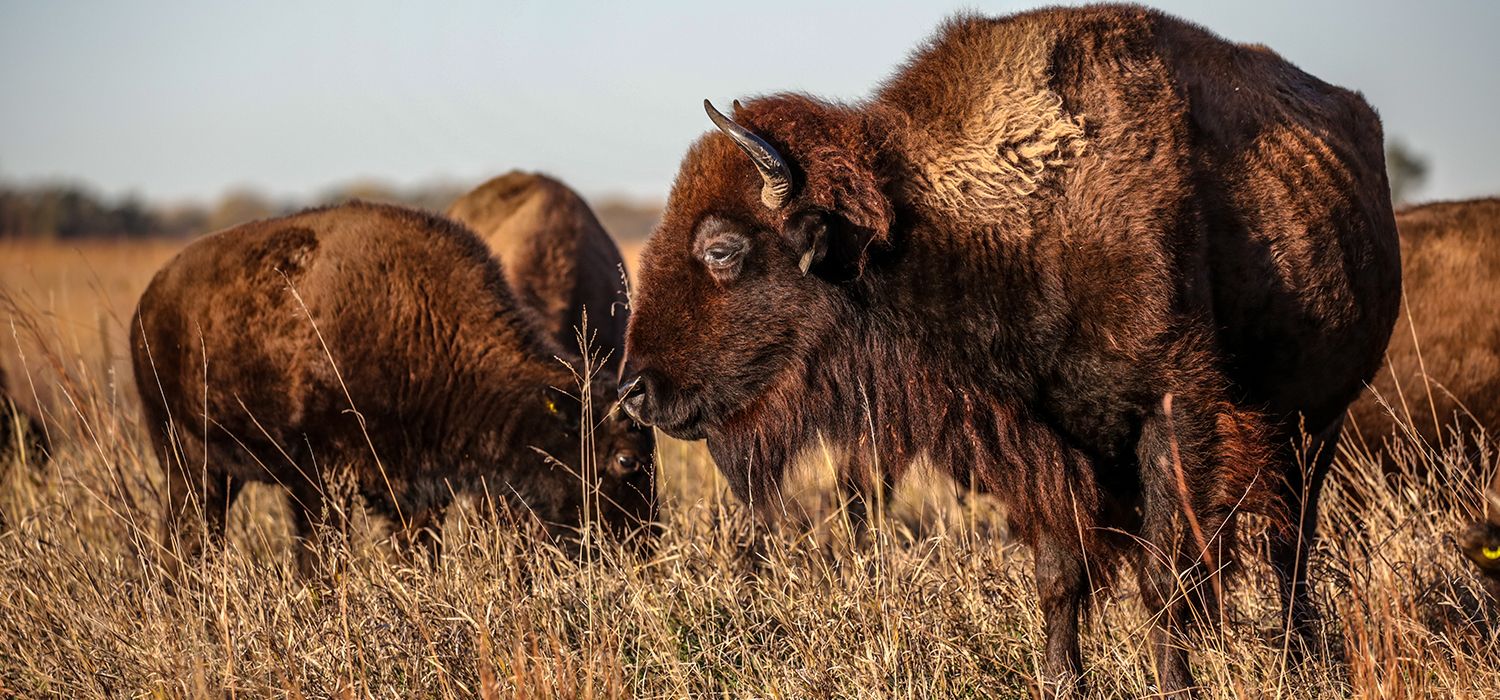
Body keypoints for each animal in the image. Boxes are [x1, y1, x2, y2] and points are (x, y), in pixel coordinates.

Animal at [133, 199, 657, 572]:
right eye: (626, 460)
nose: (645, 546)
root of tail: (149, 301)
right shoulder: (319, 481)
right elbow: (319, 561)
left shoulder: (416, 493)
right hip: (184, 460)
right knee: (190, 534)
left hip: (218, 472)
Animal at [615, 5, 1398, 695]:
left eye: (721, 249)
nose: (635, 389)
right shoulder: (1042, 443)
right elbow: (1060, 575)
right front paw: (1061, 681)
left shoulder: (1173, 416)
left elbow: (1164, 580)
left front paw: (1176, 687)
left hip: (1316, 426)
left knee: (1290, 547)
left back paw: (1299, 661)